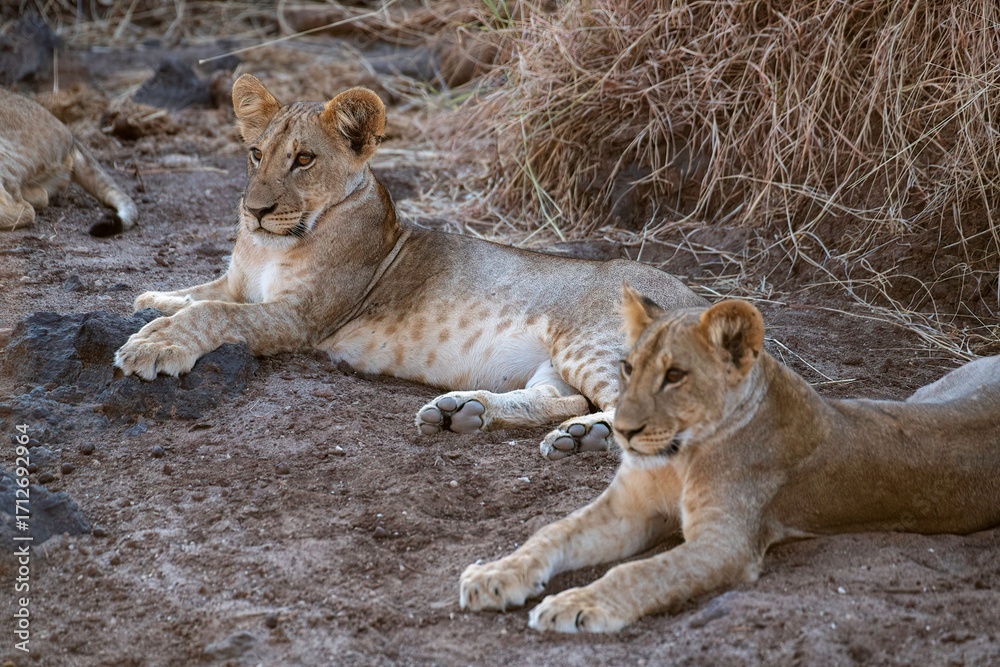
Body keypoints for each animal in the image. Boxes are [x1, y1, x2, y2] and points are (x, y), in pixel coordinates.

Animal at [113, 74, 705, 458]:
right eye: (256, 154)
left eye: (303, 159)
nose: (253, 210)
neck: (269, 246)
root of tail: (704, 303)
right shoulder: (239, 283)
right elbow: (199, 292)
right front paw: (151, 301)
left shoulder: (300, 320)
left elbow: (212, 313)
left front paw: (152, 344)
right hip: (555, 365)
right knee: (558, 397)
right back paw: (465, 413)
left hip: (592, 342)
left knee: (650, 413)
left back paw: (589, 437)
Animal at [459, 287, 1000, 632]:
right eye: (628, 367)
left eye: (675, 375)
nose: (623, 430)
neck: (678, 456)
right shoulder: (628, 510)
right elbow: (552, 531)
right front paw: (493, 576)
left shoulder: (727, 541)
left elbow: (641, 572)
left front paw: (577, 603)